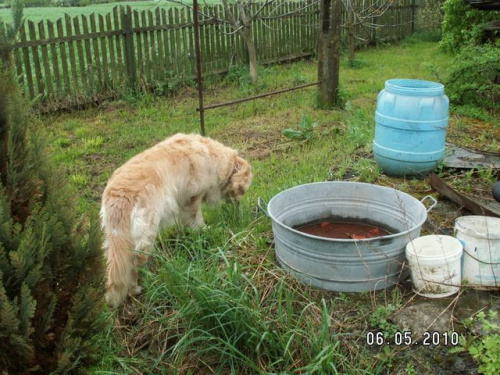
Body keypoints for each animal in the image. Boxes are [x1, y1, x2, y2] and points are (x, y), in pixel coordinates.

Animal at [101, 134, 252, 310]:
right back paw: (136, 287)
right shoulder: (193, 197)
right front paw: (203, 230)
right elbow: (196, 218)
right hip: (147, 233)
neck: (211, 155)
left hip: (114, 242)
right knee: (135, 262)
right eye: (243, 190)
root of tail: (120, 196)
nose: (238, 205)